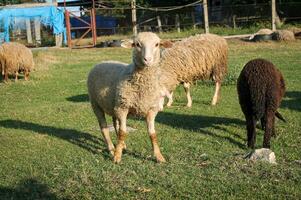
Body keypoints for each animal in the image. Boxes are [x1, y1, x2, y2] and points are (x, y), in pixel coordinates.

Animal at [88, 31, 170, 162]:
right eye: (137, 44)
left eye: (157, 44)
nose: (148, 59)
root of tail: (99, 63)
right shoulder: (123, 108)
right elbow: (123, 132)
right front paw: (117, 157)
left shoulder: (151, 109)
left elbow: (152, 134)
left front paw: (159, 156)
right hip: (96, 104)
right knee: (104, 127)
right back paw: (112, 149)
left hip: (114, 104)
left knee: (115, 123)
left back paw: (121, 145)